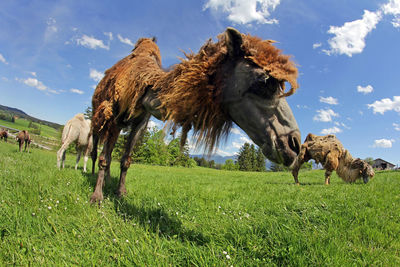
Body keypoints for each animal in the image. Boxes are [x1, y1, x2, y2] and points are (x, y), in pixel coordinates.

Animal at [88, 27, 300, 203]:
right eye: (265, 81)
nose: (294, 144)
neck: (144, 88)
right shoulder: (114, 114)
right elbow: (105, 158)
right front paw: (97, 197)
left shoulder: (140, 122)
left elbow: (126, 159)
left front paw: (120, 193)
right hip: (98, 118)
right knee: (95, 150)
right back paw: (91, 176)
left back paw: (107, 180)